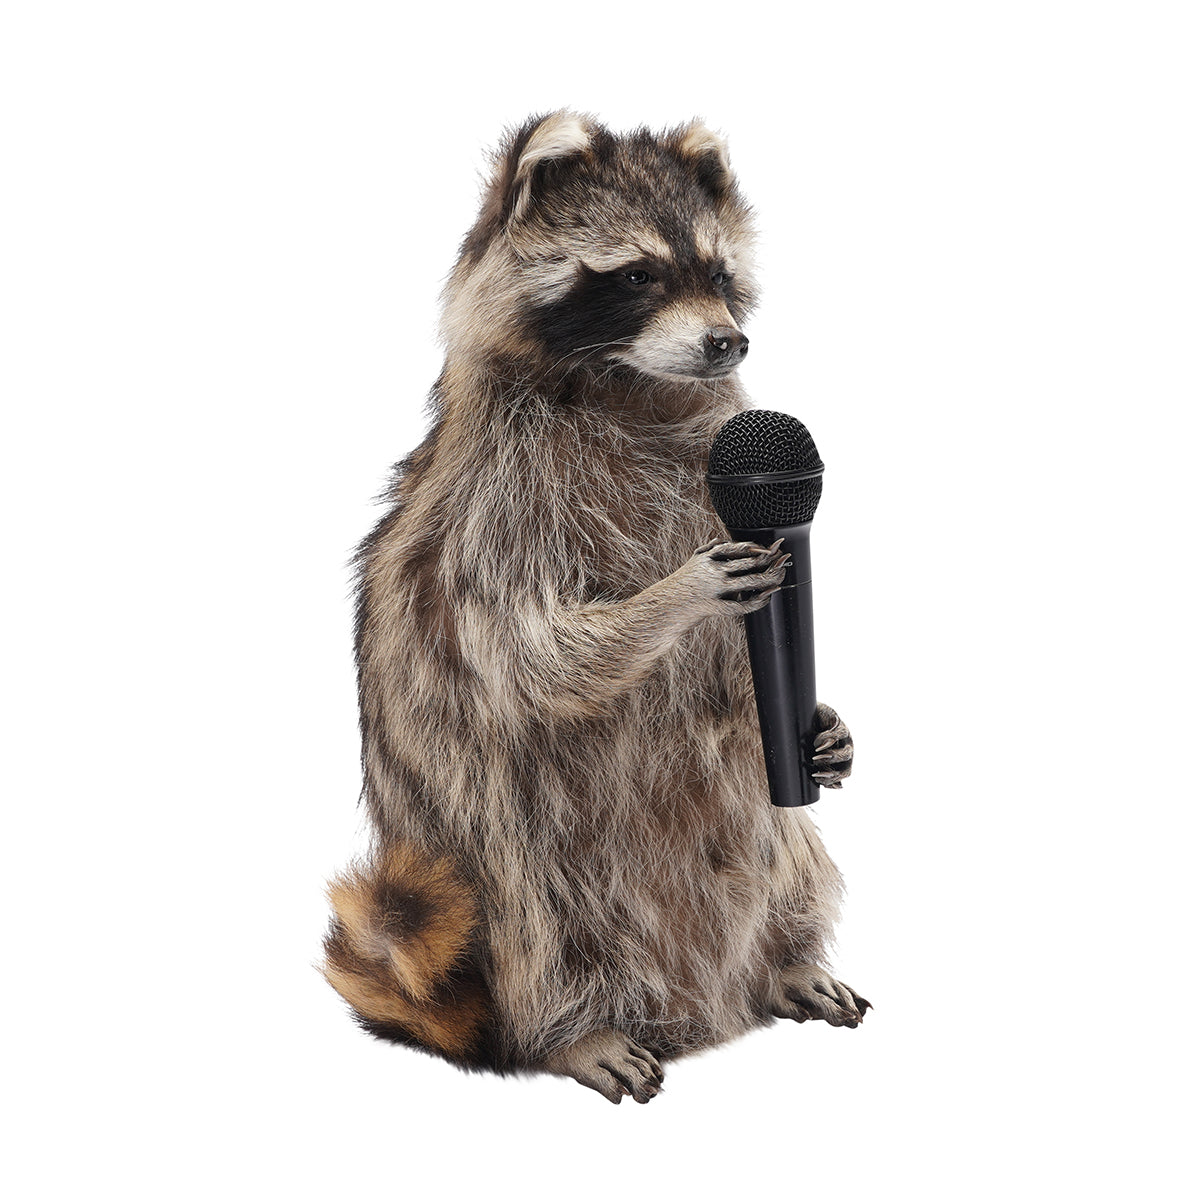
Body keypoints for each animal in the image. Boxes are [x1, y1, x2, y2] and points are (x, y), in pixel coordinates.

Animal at [323, 112, 867, 1104]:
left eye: (719, 275)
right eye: (639, 276)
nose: (728, 343)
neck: (629, 382)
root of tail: (700, 1009)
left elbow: (744, 674)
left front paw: (822, 717)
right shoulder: (498, 504)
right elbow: (531, 654)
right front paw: (675, 594)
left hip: (756, 836)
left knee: (784, 838)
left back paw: (785, 954)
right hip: (491, 859)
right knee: (536, 904)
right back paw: (574, 1026)